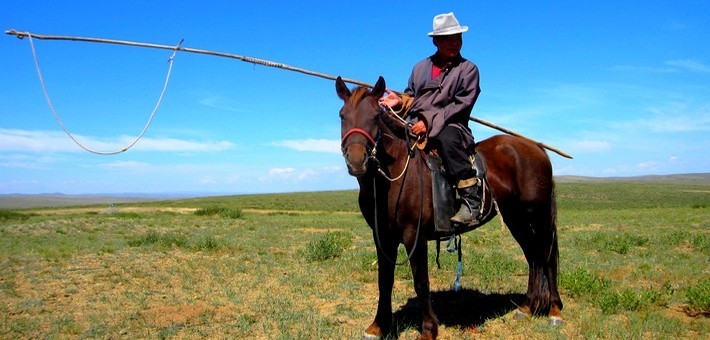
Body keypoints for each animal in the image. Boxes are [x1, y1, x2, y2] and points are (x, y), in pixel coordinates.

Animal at [336, 75, 564, 338]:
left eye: (374, 116)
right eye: (342, 115)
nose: (356, 161)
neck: (391, 178)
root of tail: (536, 146)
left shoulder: (414, 235)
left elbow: (421, 281)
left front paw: (428, 329)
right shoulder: (382, 236)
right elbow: (385, 280)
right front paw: (378, 326)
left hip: (539, 216)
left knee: (546, 255)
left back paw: (555, 311)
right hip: (516, 218)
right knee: (532, 254)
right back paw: (526, 307)